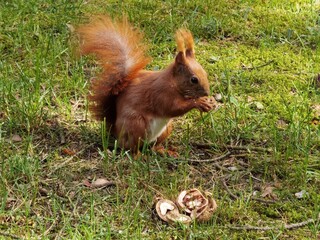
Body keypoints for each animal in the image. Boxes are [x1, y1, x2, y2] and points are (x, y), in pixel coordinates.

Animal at [77, 15, 216, 152]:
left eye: (205, 73)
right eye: (194, 80)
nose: (207, 92)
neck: (172, 83)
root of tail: (116, 133)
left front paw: (211, 101)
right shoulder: (161, 93)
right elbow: (172, 108)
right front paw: (199, 102)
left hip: (166, 129)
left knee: (153, 145)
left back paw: (163, 150)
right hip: (136, 125)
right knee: (132, 147)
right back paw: (138, 155)